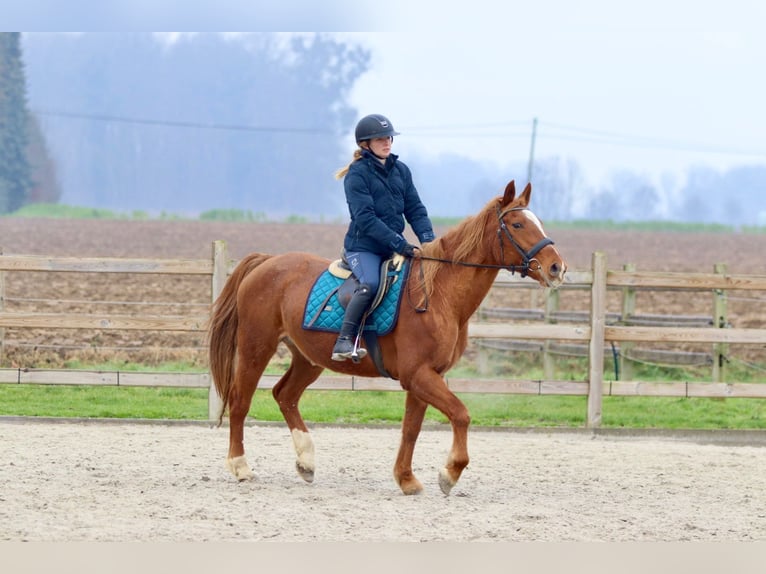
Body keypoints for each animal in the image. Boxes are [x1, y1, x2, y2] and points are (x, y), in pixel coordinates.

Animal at [208, 180, 567, 495]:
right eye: (518, 224)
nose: (556, 268)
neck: (438, 296)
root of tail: (267, 262)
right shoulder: (418, 375)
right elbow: (461, 414)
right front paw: (449, 473)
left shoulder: (427, 376)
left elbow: (411, 429)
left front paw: (406, 479)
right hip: (256, 347)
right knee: (240, 401)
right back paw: (241, 466)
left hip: (308, 358)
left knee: (285, 395)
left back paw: (306, 462)